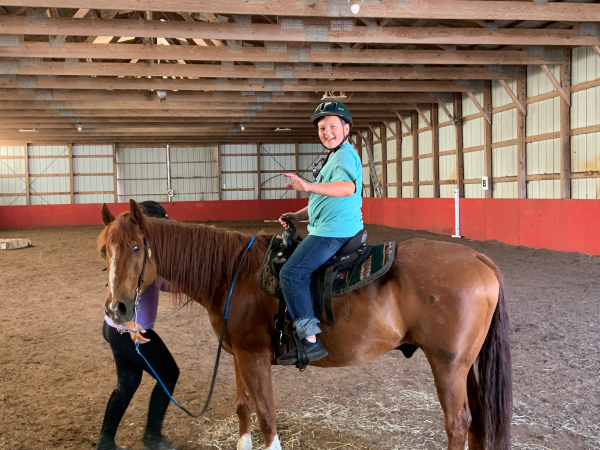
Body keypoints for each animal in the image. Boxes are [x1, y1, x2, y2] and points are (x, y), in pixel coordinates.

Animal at [98, 202, 510, 450]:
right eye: (105, 250)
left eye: (137, 247)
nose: (117, 309)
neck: (233, 275)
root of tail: (478, 257)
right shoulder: (238, 355)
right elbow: (243, 407)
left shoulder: (255, 357)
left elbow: (266, 415)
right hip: (464, 367)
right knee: (475, 420)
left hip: (448, 365)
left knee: (457, 423)